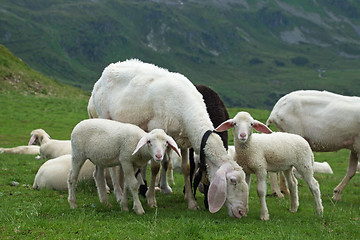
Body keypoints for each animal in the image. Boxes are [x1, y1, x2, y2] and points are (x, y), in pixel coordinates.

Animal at [88, 58, 249, 218]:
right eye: (233, 181)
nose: (241, 212)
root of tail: (108, 69)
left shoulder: (184, 141)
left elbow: (187, 168)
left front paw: (191, 202)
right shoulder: (156, 133)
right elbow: (155, 167)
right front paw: (151, 199)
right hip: (105, 119)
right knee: (111, 167)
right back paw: (115, 195)